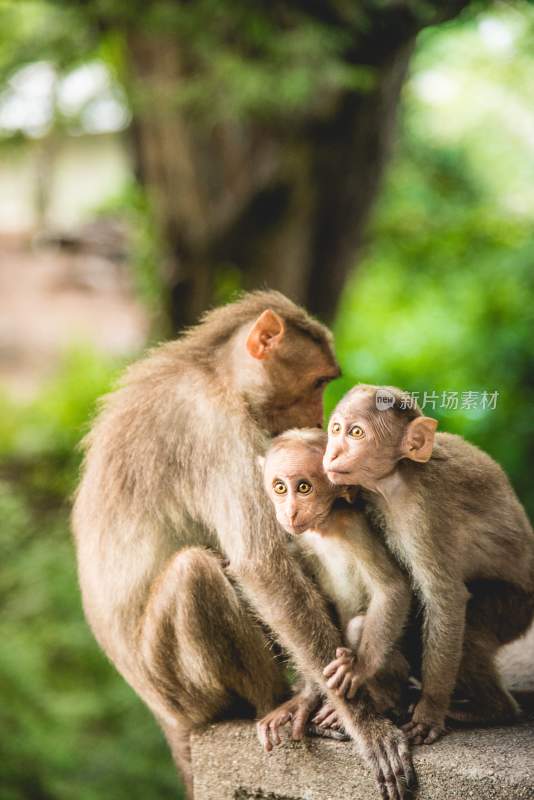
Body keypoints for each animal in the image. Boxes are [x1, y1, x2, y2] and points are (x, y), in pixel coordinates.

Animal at [258, 432, 412, 752]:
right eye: (280, 487)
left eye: (304, 487)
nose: (289, 511)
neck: (324, 528)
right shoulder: (301, 540)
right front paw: (306, 698)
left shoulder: (353, 527)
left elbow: (392, 587)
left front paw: (357, 669)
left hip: (401, 671)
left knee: (358, 626)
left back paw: (382, 702)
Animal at [322, 384, 534, 748]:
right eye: (336, 429)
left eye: (356, 433)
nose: (332, 453)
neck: (396, 478)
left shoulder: (426, 512)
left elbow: (445, 598)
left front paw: (429, 709)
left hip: (515, 608)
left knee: (472, 629)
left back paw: (489, 709)